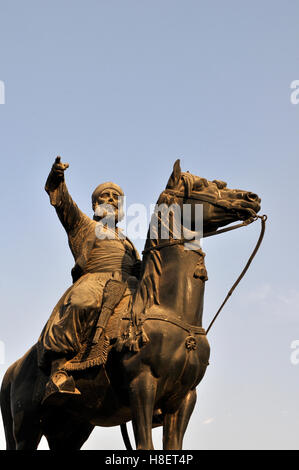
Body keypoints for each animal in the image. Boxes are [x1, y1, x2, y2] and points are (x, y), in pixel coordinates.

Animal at [0, 160, 262, 450]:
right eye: (203, 185)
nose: (252, 197)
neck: (168, 309)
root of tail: (14, 368)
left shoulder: (185, 397)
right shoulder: (142, 385)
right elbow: (145, 445)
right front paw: (57, 175)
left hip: (70, 428)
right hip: (27, 428)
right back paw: (59, 378)